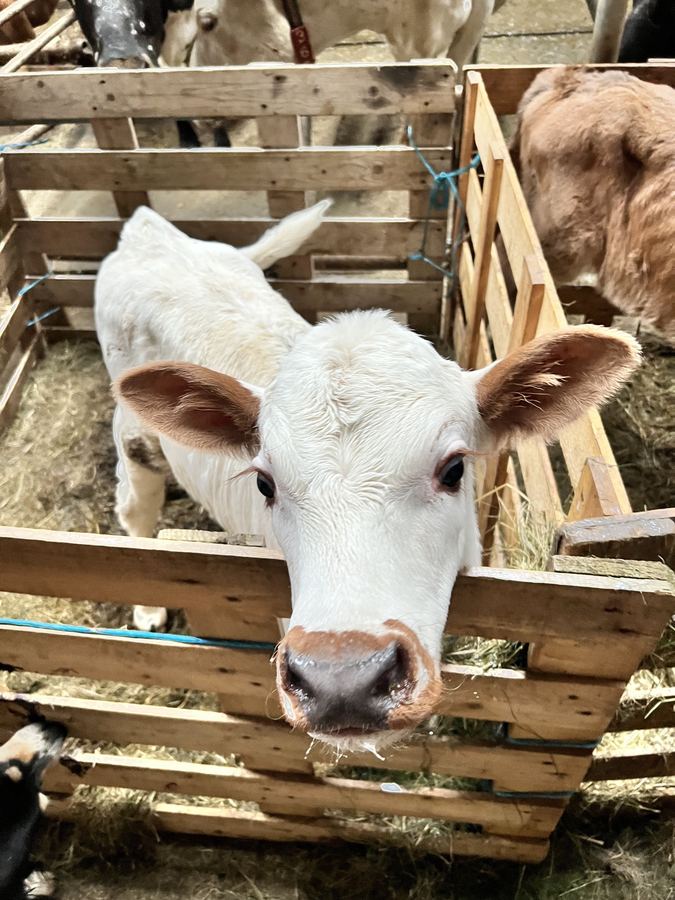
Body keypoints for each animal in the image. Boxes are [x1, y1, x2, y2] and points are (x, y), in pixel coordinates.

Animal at [96, 201, 640, 753]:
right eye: (264, 484)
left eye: (454, 469)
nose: (343, 681)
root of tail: (149, 230)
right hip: (132, 435)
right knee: (135, 510)